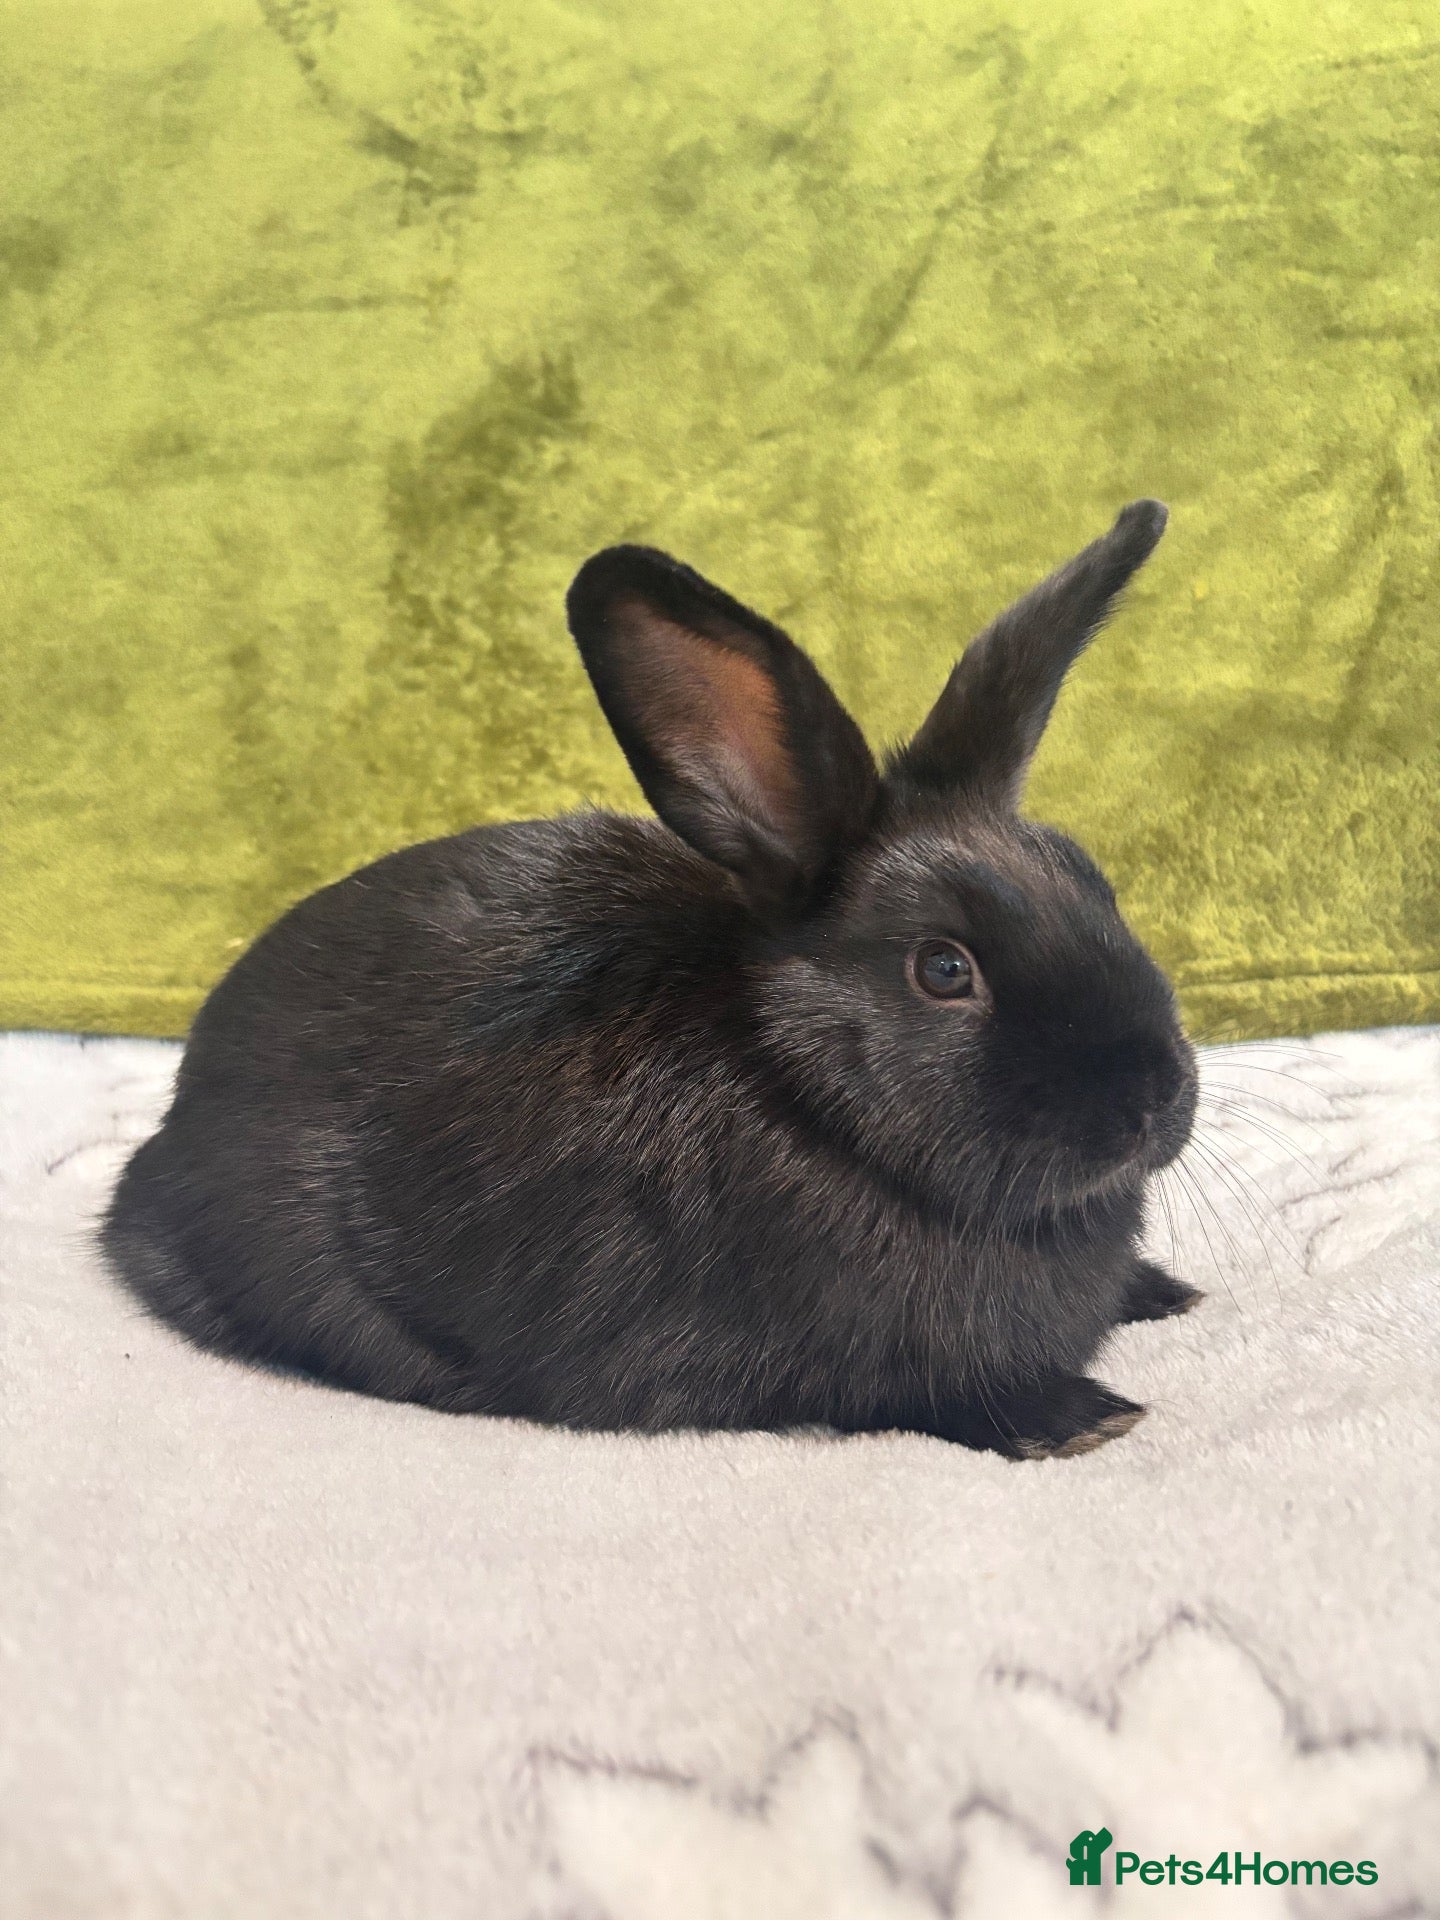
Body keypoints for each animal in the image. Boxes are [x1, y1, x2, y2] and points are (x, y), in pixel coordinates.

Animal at [103, 499, 1201, 1459]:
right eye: (942, 968)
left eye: (1092, 882)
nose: (1153, 1099)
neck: (808, 1102)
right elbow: (939, 1394)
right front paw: (1083, 1416)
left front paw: (1161, 1289)